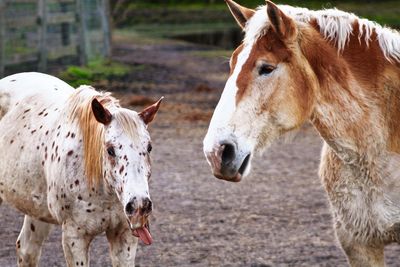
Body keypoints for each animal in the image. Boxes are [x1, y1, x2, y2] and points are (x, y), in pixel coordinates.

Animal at [0, 72, 162, 266]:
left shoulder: (124, 235)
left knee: (27, 250)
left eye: (149, 148)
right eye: (110, 150)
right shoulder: (75, 237)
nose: (139, 206)